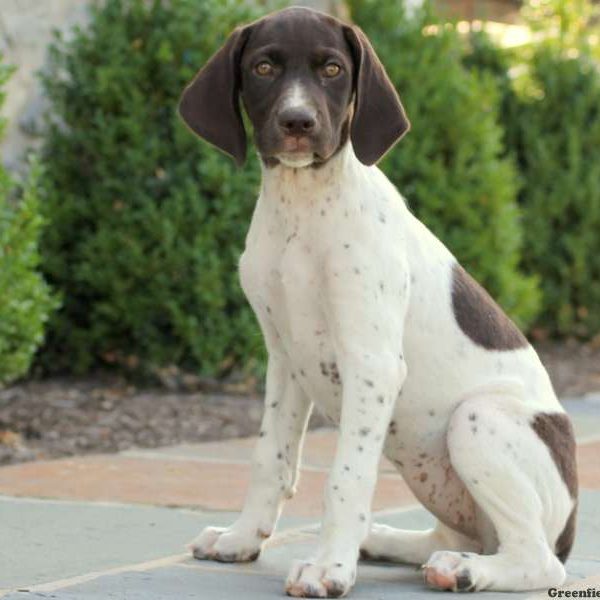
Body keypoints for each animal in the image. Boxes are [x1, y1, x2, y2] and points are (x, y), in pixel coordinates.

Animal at [177, 7, 576, 596]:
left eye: (333, 69)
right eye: (263, 67)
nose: (298, 122)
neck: (303, 210)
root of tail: (570, 522)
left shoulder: (372, 364)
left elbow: (346, 478)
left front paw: (328, 569)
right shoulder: (284, 358)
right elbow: (270, 457)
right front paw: (243, 538)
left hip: (476, 419)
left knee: (537, 560)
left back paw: (464, 570)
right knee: (450, 537)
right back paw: (388, 542)